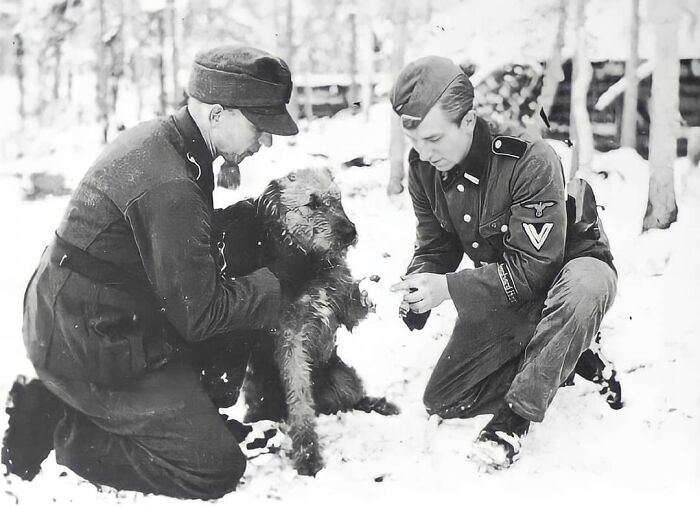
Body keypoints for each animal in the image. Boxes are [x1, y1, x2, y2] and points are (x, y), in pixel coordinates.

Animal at [200, 167, 402, 476]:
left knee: (352, 399)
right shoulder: (291, 338)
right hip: (260, 388)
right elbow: (300, 401)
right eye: (313, 203)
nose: (350, 233)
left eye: (337, 198)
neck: (310, 261)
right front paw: (308, 456)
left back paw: (378, 405)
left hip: (344, 377)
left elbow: (358, 300)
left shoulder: (343, 307)